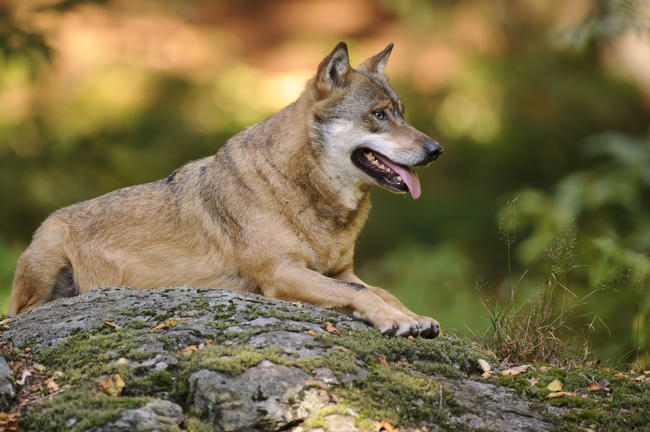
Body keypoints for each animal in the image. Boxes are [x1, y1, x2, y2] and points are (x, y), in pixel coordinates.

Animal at [10, 40, 442, 338]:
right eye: (378, 115)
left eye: (402, 113)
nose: (436, 150)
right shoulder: (282, 273)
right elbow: (364, 294)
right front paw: (397, 322)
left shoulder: (341, 271)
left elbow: (384, 291)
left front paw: (415, 317)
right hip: (47, 255)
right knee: (20, 313)